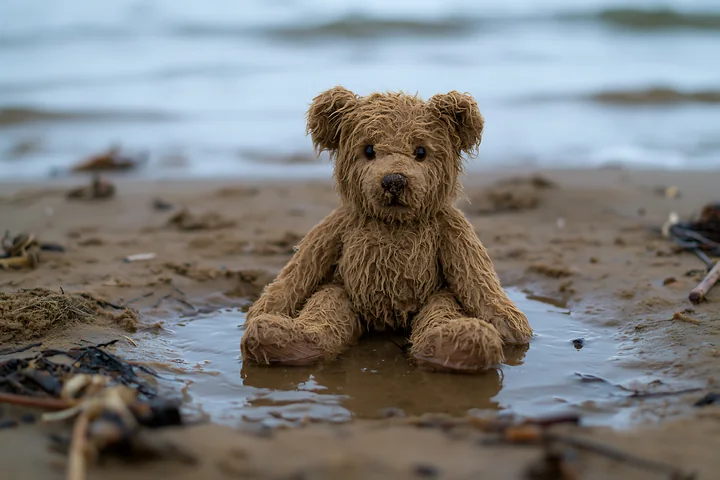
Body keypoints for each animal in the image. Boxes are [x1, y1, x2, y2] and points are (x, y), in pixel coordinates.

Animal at [240, 86, 533, 373]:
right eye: (369, 151)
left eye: (420, 152)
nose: (394, 181)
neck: (393, 224)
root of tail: (386, 322)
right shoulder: (335, 227)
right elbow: (297, 273)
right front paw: (261, 310)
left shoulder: (453, 230)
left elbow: (480, 283)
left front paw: (512, 326)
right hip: (343, 296)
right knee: (326, 305)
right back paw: (282, 339)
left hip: (434, 298)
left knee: (442, 307)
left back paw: (460, 343)